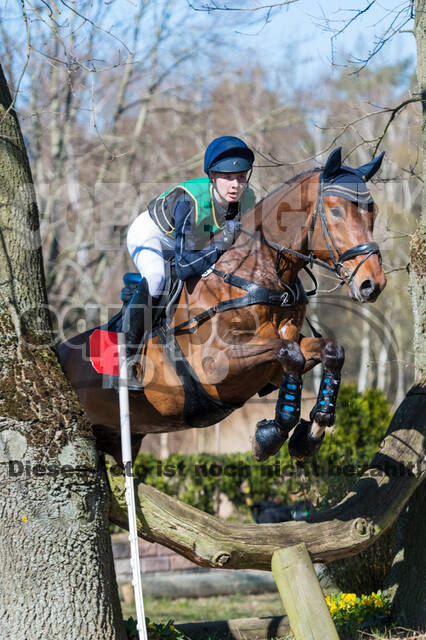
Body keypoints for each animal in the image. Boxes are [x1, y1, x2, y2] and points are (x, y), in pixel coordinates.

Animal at [58, 148, 388, 462]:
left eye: (374, 212)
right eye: (336, 211)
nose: (373, 284)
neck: (261, 276)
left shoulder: (279, 358)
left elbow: (329, 351)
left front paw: (311, 433)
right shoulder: (215, 364)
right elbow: (288, 353)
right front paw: (270, 436)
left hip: (121, 438)